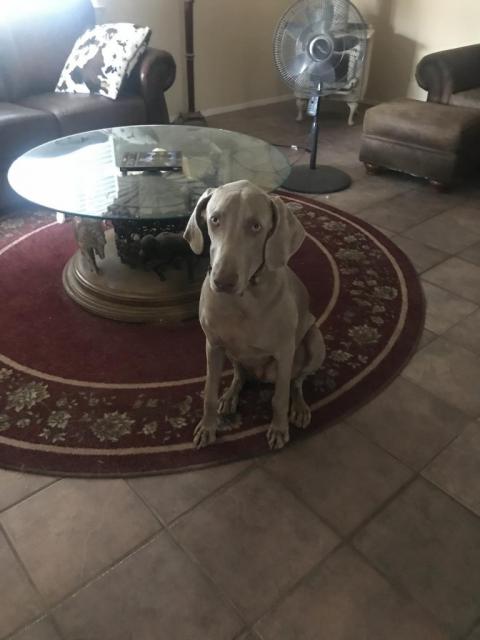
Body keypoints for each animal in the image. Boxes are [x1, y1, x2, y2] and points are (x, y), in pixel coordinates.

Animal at [184, 180, 326, 450]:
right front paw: (208, 428)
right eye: (215, 219)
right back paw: (230, 396)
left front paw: (279, 429)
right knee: (240, 375)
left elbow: (280, 398)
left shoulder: (284, 351)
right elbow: (209, 393)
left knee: (297, 382)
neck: (243, 301)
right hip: (233, 354)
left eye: (256, 226)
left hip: (315, 342)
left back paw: (300, 408)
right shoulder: (213, 346)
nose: (222, 282)